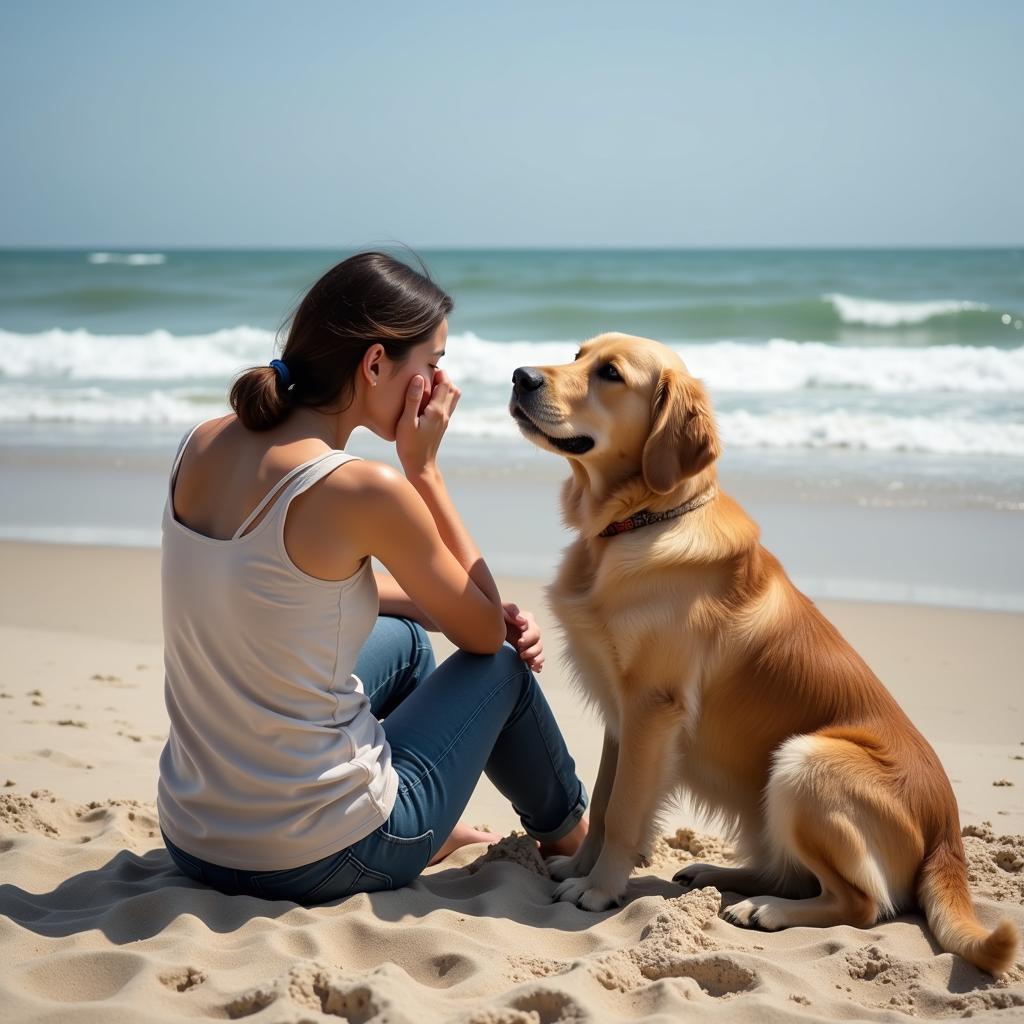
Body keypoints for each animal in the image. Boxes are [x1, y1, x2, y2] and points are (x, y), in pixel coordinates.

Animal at [507, 333, 1019, 974]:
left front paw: (598, 890)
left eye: (610, 374)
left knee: (862, 903)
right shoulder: (620, 717)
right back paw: (717, 875)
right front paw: (579, 869)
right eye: (577, 354)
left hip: (805, 761)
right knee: (795, 874)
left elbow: (622, 810)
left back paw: (765, 910)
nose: (519, 376)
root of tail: (949, 835)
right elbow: (601, 801)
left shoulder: (652, 708)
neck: (640, 522)